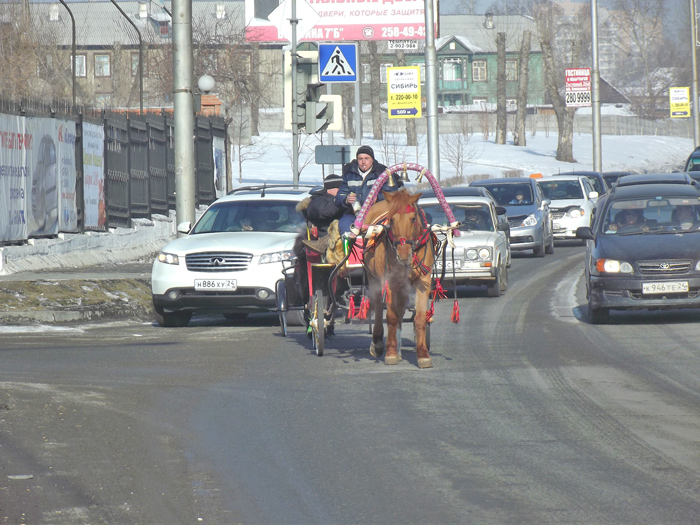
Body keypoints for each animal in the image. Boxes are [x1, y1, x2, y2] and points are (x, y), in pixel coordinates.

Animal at [360, 189, 438, 368]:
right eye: (392, 219)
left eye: (413, 219)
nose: (403, 254)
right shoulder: (389, 282)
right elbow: (391, 316)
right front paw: (390, 352)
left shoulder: (423, 281)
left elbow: (419, 317)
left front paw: (423, 355)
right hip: (374, 278)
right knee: (379, 306)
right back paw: (379, 343)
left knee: (401, 310)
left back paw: (399, 348)